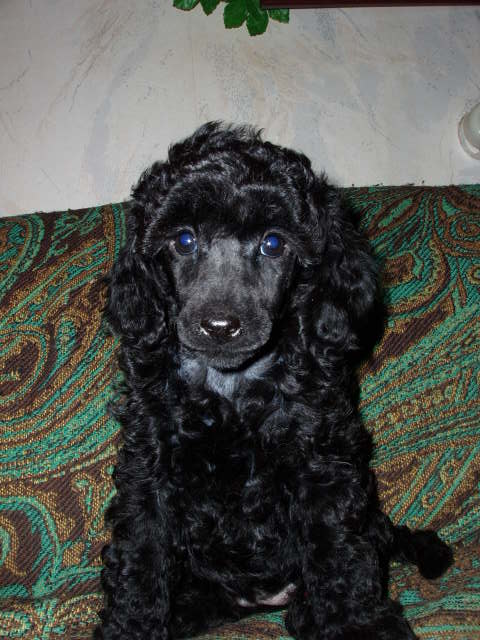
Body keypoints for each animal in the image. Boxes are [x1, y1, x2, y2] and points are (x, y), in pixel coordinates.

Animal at [95, 122, 452, 640]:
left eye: (273, 244)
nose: (220, 326)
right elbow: (140, 554)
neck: (229, 389)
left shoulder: (320, 463)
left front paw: (357, 625)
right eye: (183, 240)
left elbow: (338, 554)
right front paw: (132, 625)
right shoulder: (149, 467)